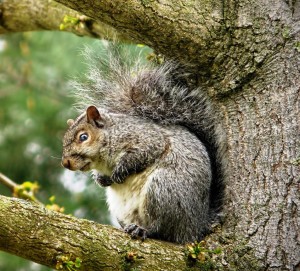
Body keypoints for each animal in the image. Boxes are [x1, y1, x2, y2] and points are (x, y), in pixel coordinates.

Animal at [61, 44, 225, 244]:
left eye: (83, 137)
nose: (65, 163)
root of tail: (196, 227)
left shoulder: (146, 139)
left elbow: (143, 153)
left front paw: (119, 172)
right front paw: (101, 179)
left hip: (164, 189)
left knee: (163, 229)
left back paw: (144, 230)